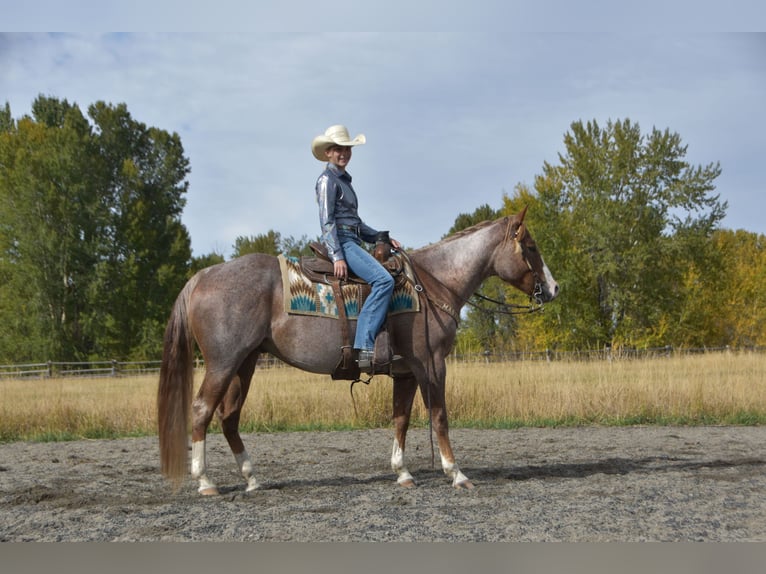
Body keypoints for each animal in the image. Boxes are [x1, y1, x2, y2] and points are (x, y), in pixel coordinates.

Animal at [157, 208, 559, 495]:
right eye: (531, 248)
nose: (553, 289)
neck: (431, 285)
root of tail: (202, 277)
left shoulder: (406, 372)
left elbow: (401, 419)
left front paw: (403, 473)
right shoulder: (432, 365)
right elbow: (440, 417)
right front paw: (456, 473)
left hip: (246, 362)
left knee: (229, 416)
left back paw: (252, 479)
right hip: (223, 363)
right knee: (202, 410)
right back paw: (205, 482)